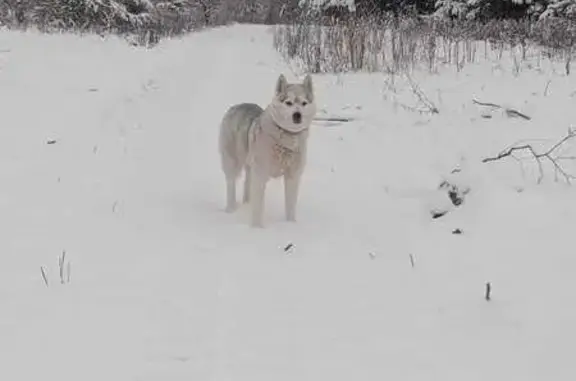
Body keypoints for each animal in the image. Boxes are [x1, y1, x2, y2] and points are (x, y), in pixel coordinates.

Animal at [217, 75, 316, 229]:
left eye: (304, 103)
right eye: (288, 102)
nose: (297, 115)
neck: (286, 137)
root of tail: (237, 106)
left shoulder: (293, 176)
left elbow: (290, 206)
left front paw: (291, 225)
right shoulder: (261, 174)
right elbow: (258, 207)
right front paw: (257, 229)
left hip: (250, 165)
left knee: (247, 183)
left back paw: (247, 204)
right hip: (232, 162)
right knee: (231, 183)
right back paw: (231, 209)